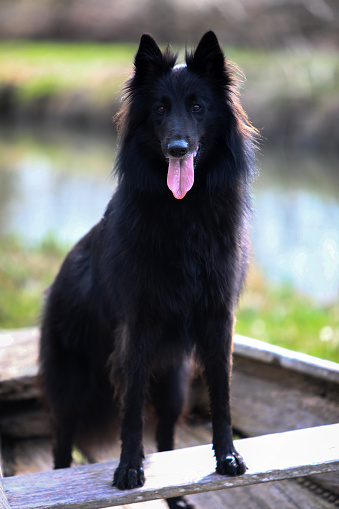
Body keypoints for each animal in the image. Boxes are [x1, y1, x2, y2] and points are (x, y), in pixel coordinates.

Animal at [39, 32, 258, 508]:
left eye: (197, 106)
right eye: (159, 109)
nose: (177, 149)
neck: (185, 214)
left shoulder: (218, 321)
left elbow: (223, 395)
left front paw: (228, 457)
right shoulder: (136, 330)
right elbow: (132, 409)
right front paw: (128, 468)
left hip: (173, 385)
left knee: (168, 437)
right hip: (70, 390)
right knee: (61, 443)